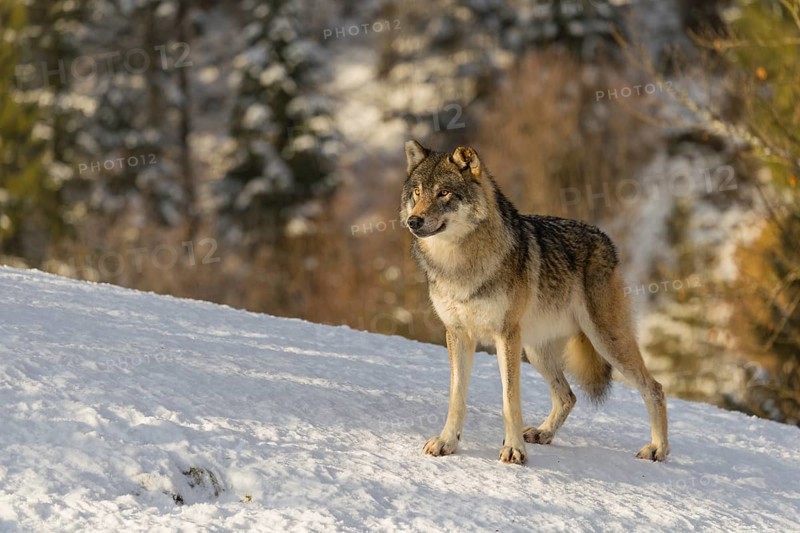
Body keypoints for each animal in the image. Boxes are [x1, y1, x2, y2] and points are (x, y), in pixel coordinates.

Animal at [400, 140, 669, 465]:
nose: (413, 221)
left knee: (655, 388)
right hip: (536, 350)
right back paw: (543, 433)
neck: (459, 263)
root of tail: (605, 239)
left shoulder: (505, 336)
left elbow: (510, 400)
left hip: (606, 341)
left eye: (444, 193)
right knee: (568, 396)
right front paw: (446, 442)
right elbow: (457, 397)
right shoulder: (458, 334)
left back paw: (657, 449)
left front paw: (514, 449)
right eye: (417, 192)